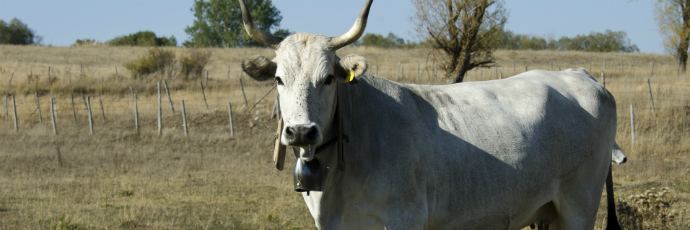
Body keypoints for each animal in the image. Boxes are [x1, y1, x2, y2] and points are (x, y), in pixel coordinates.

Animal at [239, 0, 620, 228]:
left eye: (328, 78)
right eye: (278, 79)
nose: (301, 132)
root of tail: (579, 75)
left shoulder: (405, 218)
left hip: (579, 206)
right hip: (548, 211)